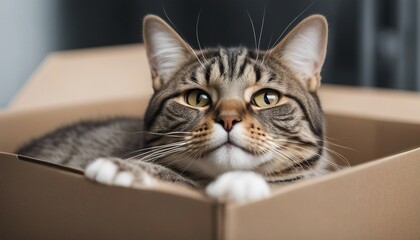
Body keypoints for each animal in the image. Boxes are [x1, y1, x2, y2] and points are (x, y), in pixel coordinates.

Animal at [17, 14, 332, 202]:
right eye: (197, 98)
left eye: (267, 98)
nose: (228, 119)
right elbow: (178, 179)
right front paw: (127, 168)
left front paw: (244, 184)